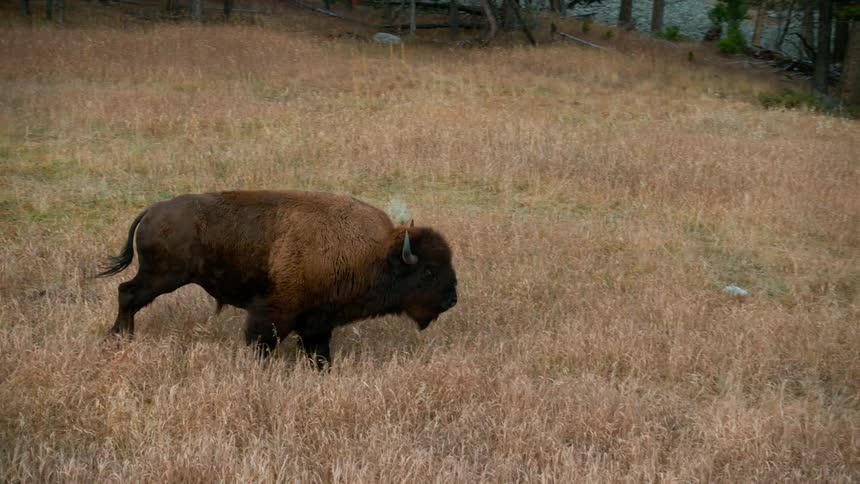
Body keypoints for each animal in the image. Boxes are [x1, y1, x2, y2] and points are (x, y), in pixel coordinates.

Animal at [96, 190, 458, 368]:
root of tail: (153, 209)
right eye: (428, 271)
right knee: (127, 293)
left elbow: (319, 350)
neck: (375, 252)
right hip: (162, 276)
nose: (452, 299)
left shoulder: (318, 320)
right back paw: (119, 337)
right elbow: (262, 342)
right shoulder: (273, 312)